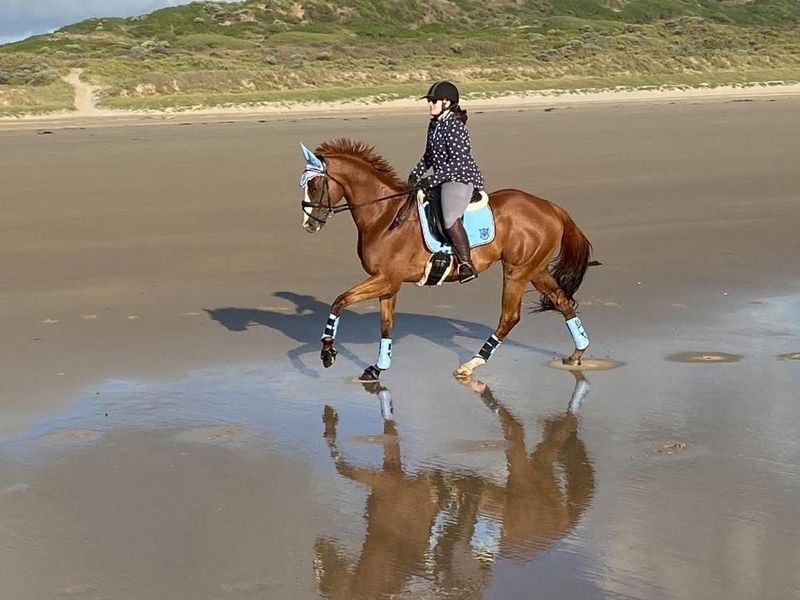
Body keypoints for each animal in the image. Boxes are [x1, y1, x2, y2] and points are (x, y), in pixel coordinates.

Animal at [299, 139, 592, 381]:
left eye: (314, 185)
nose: (309, 225)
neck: (383, 214)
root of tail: (550, 207)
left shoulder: (386, 279)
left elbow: (340, 301)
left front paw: (327, 352)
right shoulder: (389, 285)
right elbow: (386, 326)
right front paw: (377, 368)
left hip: (516, 272)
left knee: (509, 317)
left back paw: (471, 365)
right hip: (536, 270)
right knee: (563, 301)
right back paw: (578, 353)